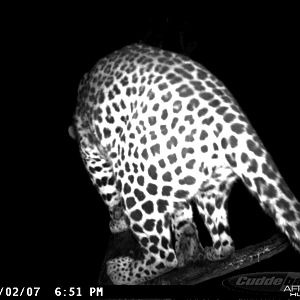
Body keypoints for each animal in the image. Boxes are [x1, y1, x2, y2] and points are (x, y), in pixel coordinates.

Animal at [70, 43, 300, 284]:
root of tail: (231, 118)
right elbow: (181, 210)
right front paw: (185, 233)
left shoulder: (93, 157)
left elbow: (108, 193)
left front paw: (117, 222)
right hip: (210, 186)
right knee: (226, 243)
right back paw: (202, 250)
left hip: (135, 177)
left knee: (163, 257)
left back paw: (121, 271)